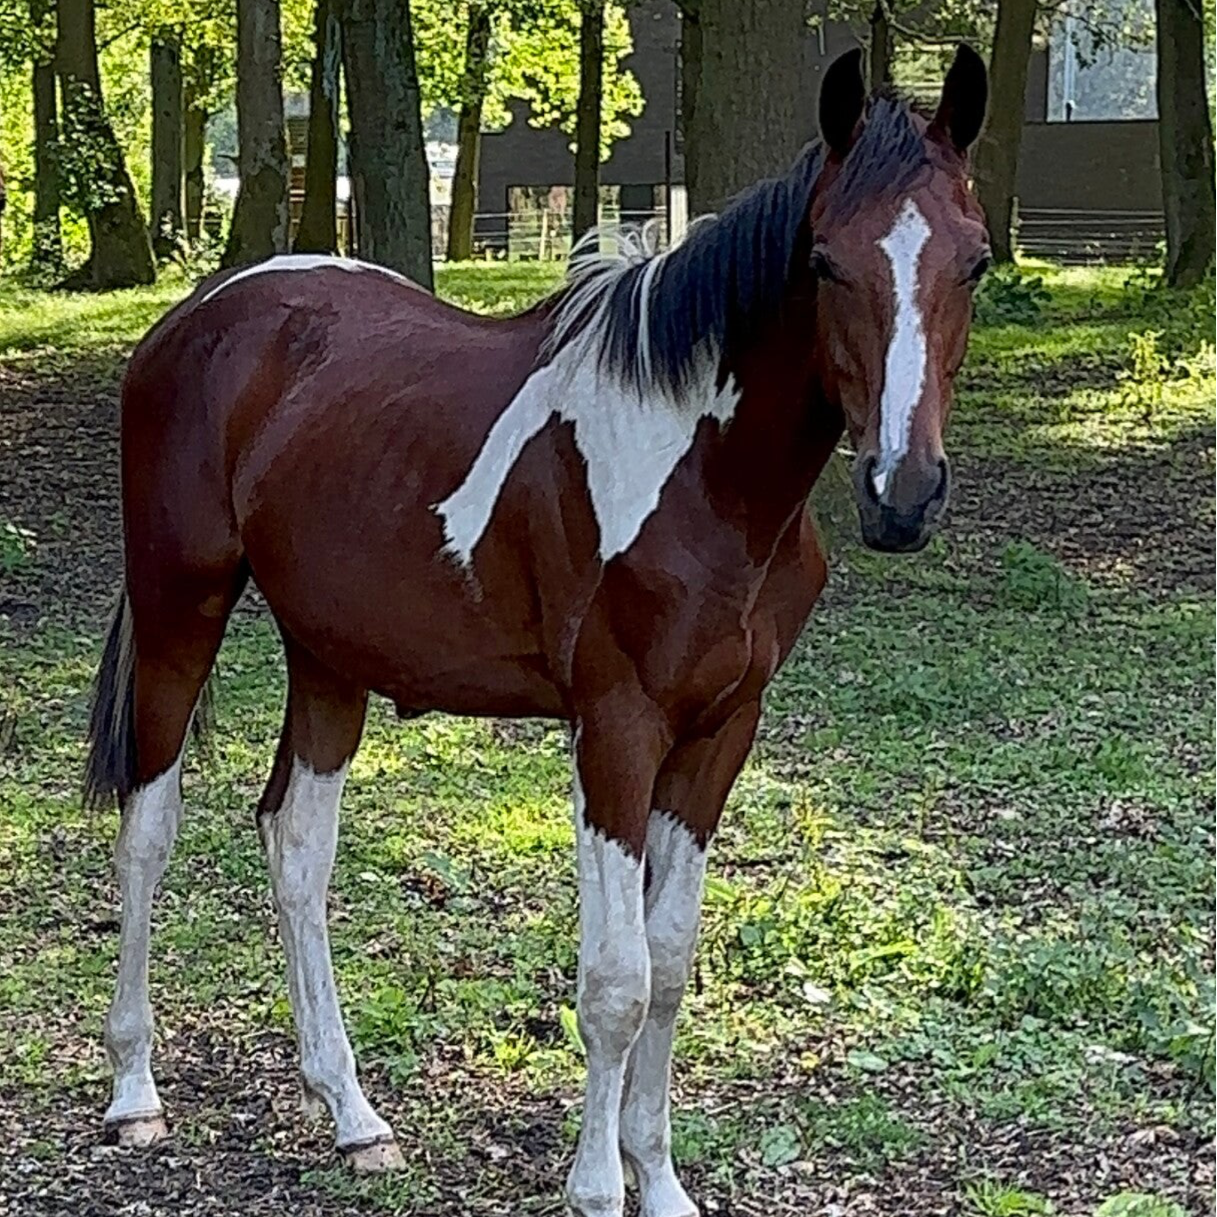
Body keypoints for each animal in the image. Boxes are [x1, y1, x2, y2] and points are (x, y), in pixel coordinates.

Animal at [84, 46, 989, 1217]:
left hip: (328, 656)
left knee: (296, 846)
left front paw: (659, 1180)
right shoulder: (615, 731)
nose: (901, 492)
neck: (701, 475)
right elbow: (615, 980)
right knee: (148, 829)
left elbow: (671, 960)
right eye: (826, 263)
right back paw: (134, 1091)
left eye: (973, 263)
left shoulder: (719, 733)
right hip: (178, 607)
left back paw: (353, 1114)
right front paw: (599, 1187)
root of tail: (195, 317)